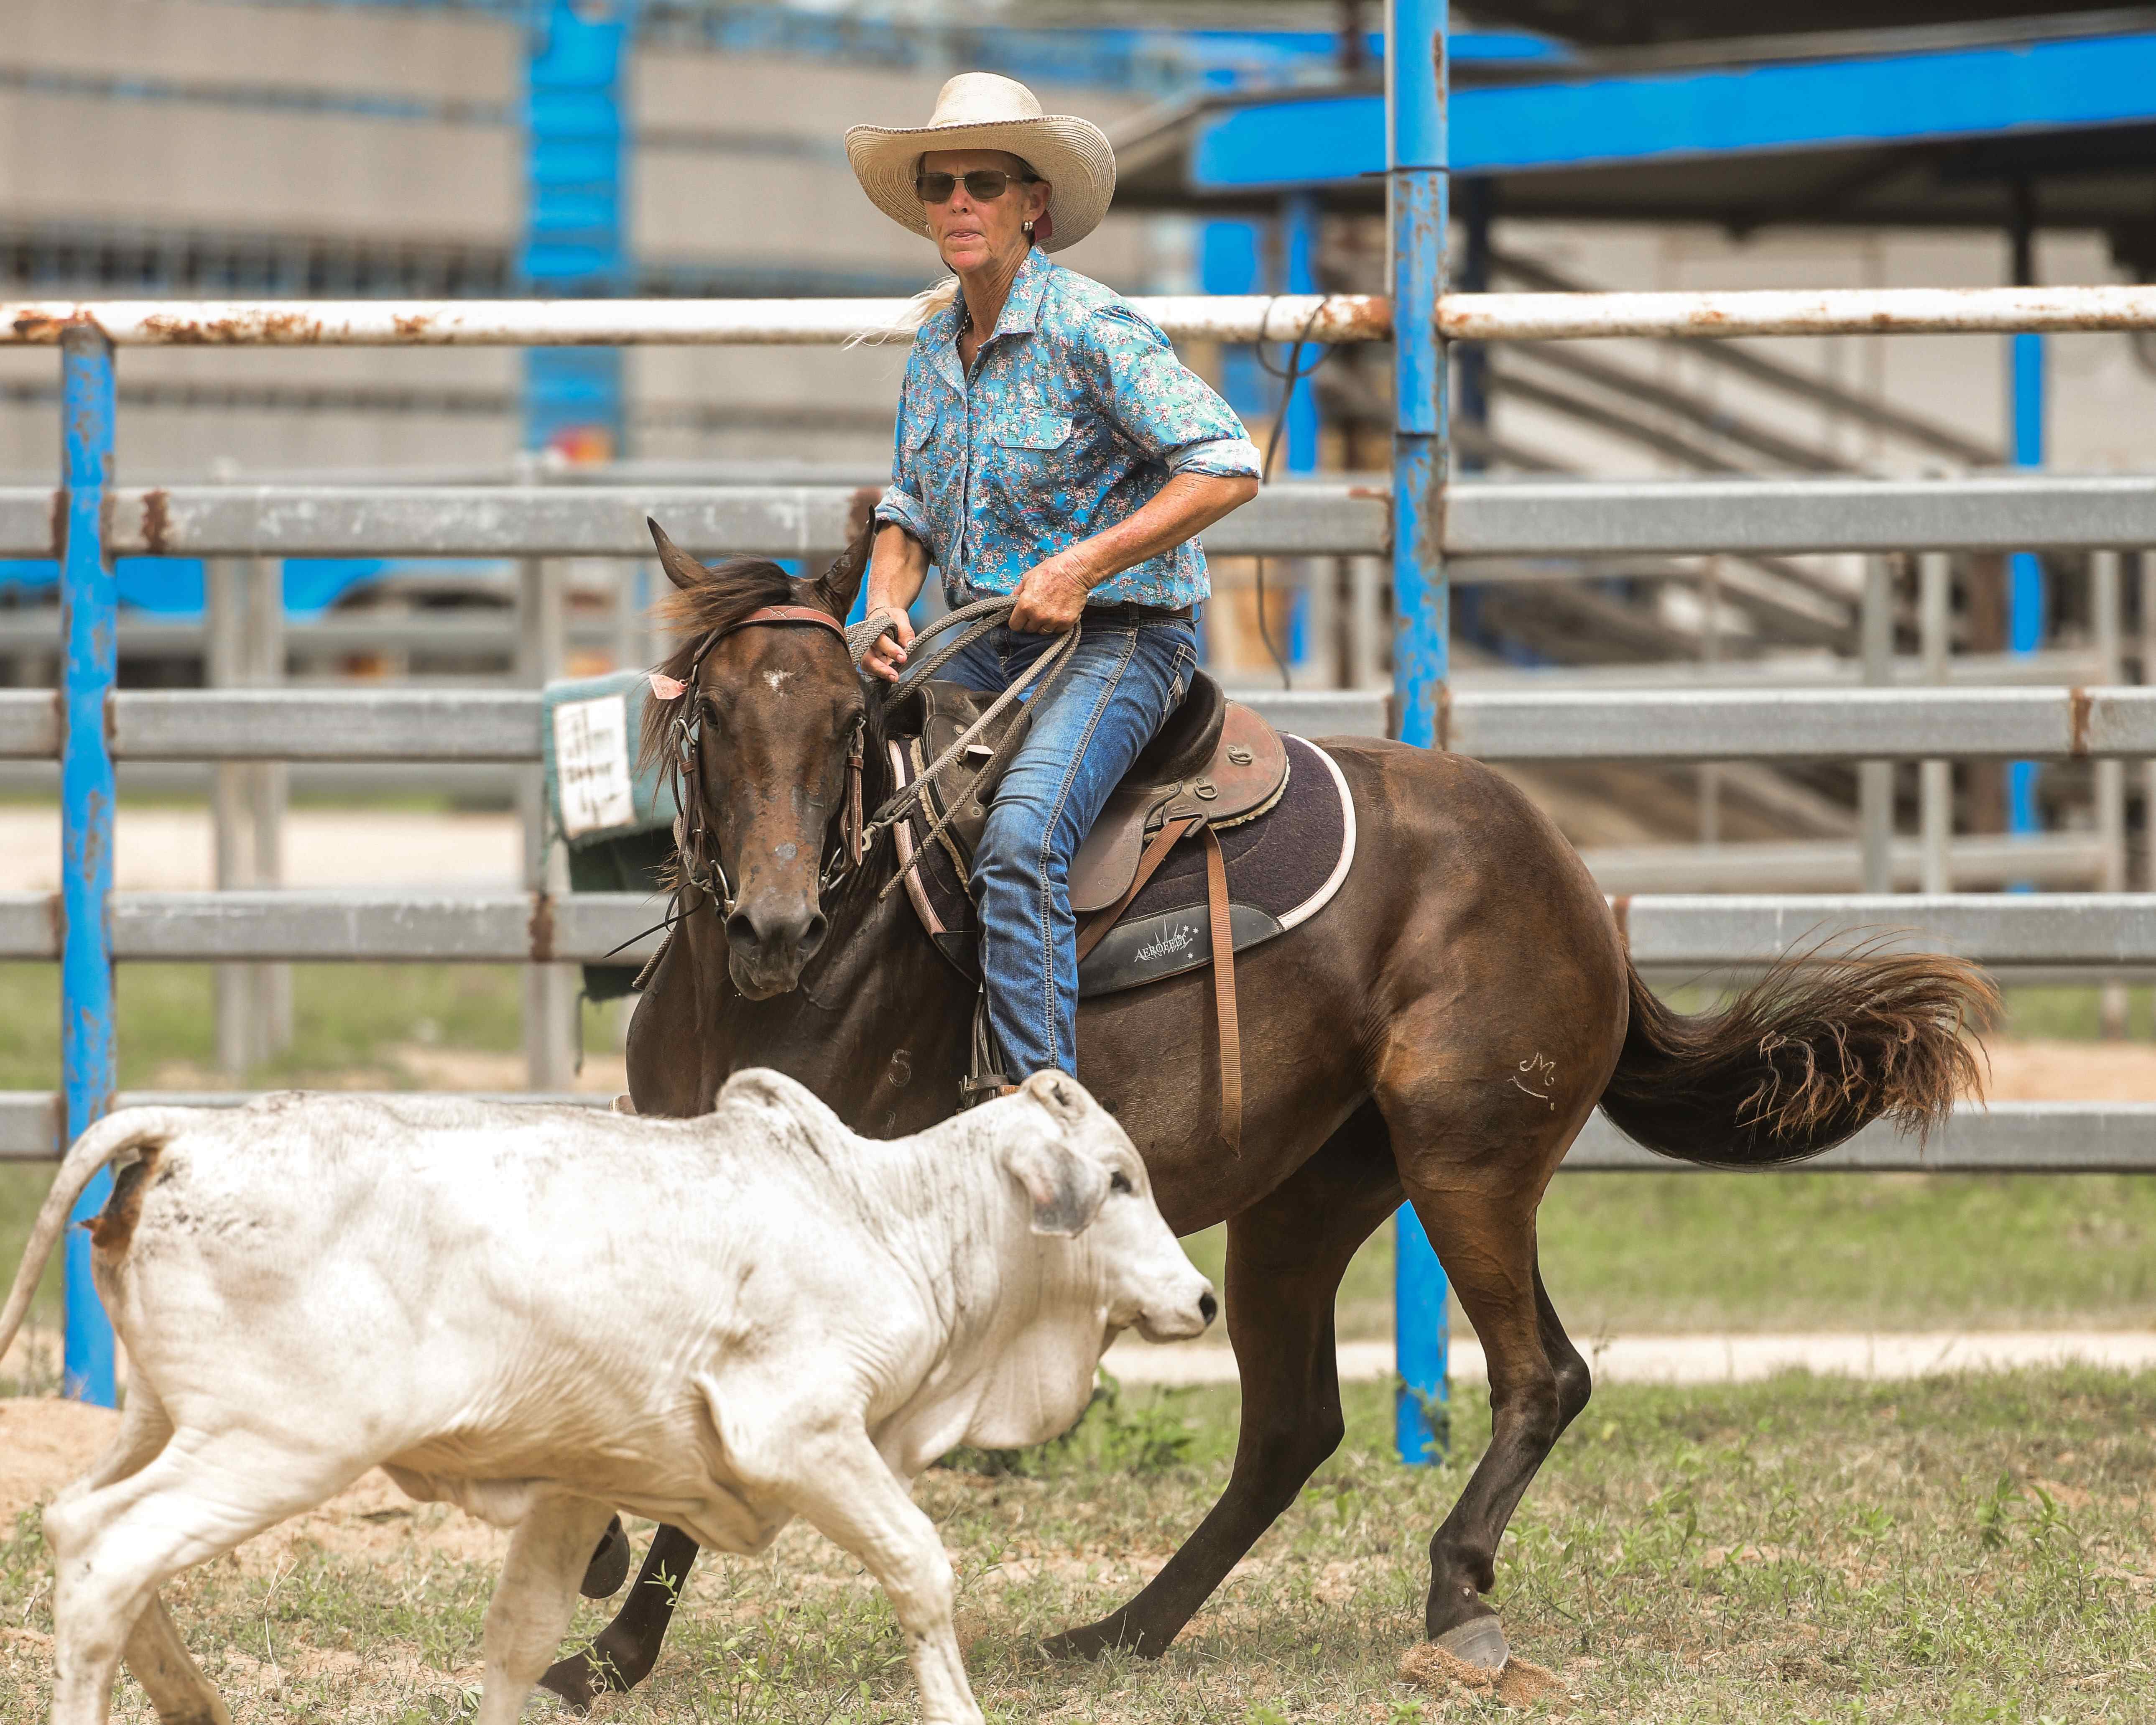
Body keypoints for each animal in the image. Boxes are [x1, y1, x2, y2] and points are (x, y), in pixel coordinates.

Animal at [0, 1068, 1217, 1725]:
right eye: (1118, 1179)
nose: (1203, 1297)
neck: (886, 1215)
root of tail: (188, 1128)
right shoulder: (804, 1434)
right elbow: (921, 1568)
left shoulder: (579, 1482)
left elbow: (516, 1637)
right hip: (275, 1444)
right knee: (111, 1551)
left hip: (166, 1423)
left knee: (74, 1522)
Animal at [539, 520, 1990, 1709]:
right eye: (712, 710)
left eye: (849, 714)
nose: (776, 924)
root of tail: (1567, 870)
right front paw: (595, 1559)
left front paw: (608, 1654)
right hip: (1312, 1198)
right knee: (1296, 1424)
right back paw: (1118, 1632)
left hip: (1468, 1162)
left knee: (1538, 1375)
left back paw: (1453, 1604)